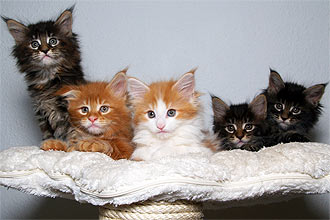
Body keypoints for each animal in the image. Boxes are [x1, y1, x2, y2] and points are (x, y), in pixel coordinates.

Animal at [2, 7, 85, 141]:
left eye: (53, 41)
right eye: (34, 44)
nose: (45, 50)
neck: (48, 78)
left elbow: (74, 133)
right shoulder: (41, 113)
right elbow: (48, 135)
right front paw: (48, 144)